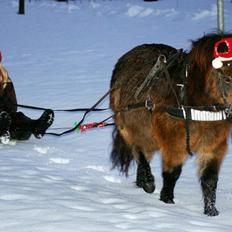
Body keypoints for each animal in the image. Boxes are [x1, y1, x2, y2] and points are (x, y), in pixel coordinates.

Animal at [109, 33, 232, 217]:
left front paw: (211, 212)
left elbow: (210, 179)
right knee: (138, 151)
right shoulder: (174, 142)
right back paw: (148, 182)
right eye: (227, 78)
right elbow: (172, 174)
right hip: (130, 127)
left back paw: (141, 182)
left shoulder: (214, 145)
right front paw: (167, 201)